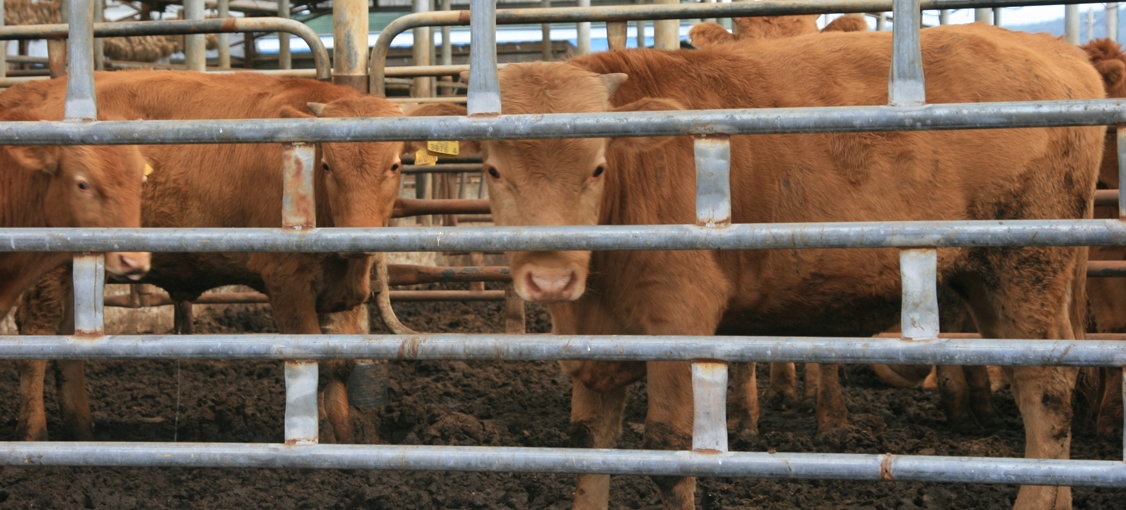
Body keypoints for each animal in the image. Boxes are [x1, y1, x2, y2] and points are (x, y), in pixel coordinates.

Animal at [425, 23, 1102, 509]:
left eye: (597, 166)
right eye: (492, 170)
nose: (550, 278)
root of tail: (1058, 54)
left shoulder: (680, 317)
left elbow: (669, 454)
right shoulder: (595, 345)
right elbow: (589, 449)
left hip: (1027, 266)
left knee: (1047, 390)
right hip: (987, 279)